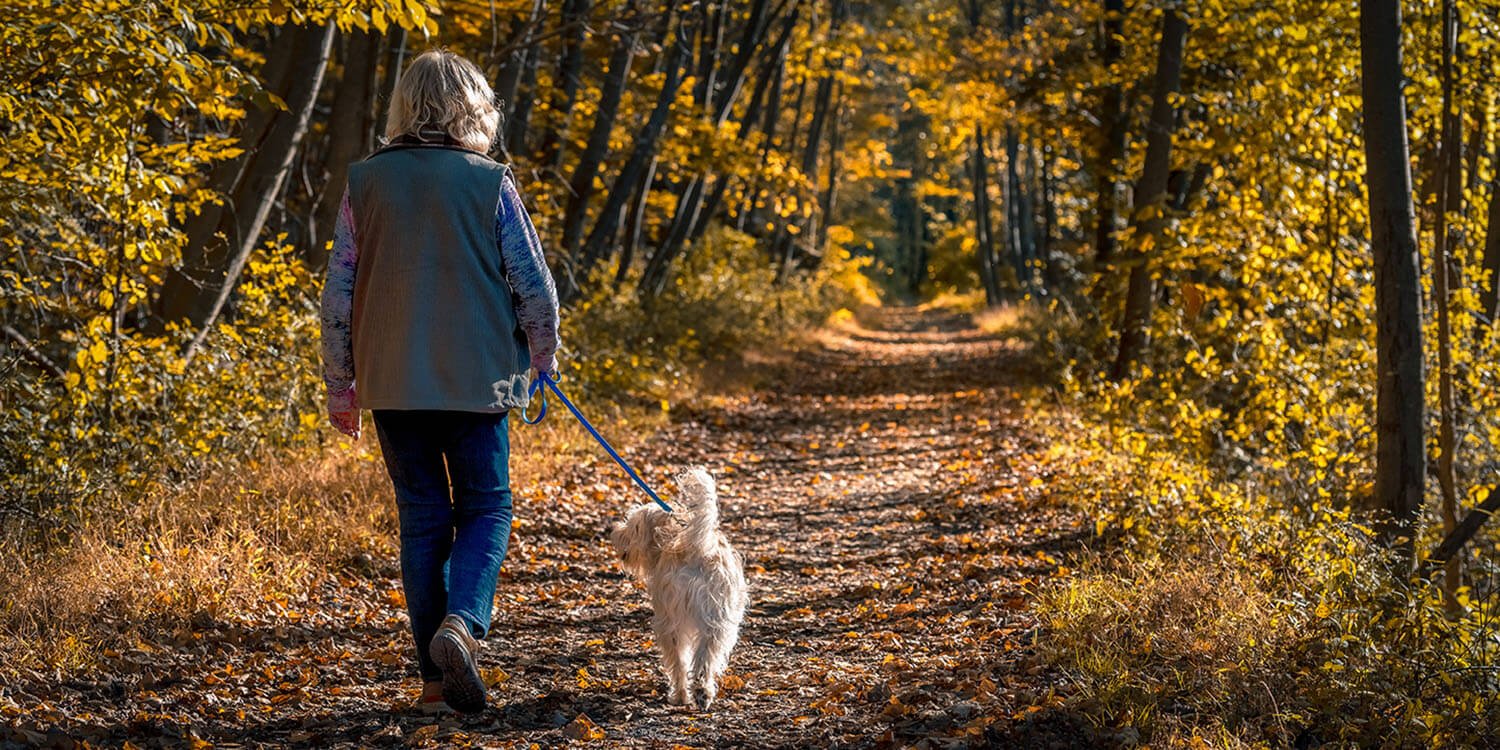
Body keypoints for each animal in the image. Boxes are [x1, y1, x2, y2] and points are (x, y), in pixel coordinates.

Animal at [609, 468, 750, 708]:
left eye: (633, 526)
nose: (615, 532)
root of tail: (699, 549)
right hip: (717, 623)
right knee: (705, 658)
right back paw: (703, 693)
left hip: (671, 621)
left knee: (679, 661)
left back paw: (681, 695)